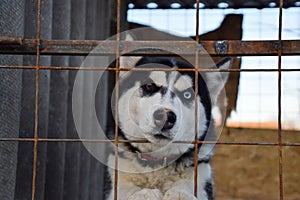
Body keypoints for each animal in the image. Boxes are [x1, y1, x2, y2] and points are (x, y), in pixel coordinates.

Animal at [106, 41, 232, 200]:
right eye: (149, 86)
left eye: (187, 94)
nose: (165, 117)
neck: (157, 164)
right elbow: (126, 189)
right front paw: (142, 193)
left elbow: (188, 185)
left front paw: (180, 193)